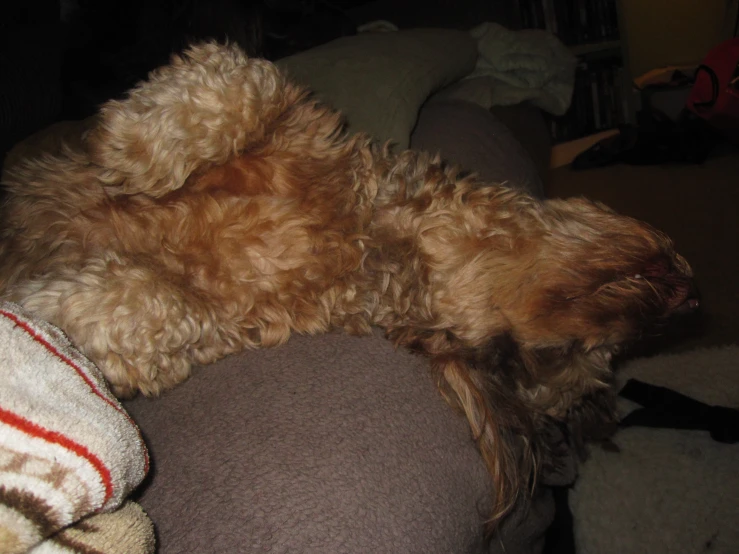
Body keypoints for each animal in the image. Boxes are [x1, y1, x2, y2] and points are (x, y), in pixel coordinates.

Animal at [0, 42, 696, 520]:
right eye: (572, 354)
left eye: (550, 364)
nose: (685, 292)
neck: (365, 237)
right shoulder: (288, 118)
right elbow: (242, 83)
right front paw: (132, 150)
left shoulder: (222, 318)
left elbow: (159, 308)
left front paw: (50, 311)